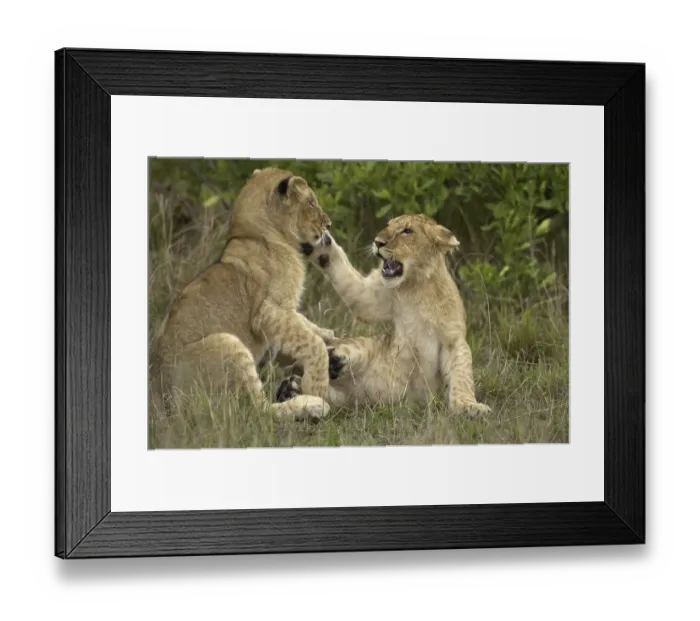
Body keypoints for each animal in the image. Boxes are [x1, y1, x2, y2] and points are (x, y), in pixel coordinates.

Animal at [150, 167, 337, 421]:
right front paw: (318, 386)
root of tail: (163, 398)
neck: (255, 234)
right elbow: (312, 342)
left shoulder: (284, 310)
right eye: (311, 203)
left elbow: (306, 325)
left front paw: (330, 336)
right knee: (258, 412)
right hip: (227, 344)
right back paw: (313, 404)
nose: (328, 224)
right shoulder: (269, 311)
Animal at [275, 214, 491, 417]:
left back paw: (293, 388)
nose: (378, 242)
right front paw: (321, 245)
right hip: (362, 347)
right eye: (388, 225)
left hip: (347, 400)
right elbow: (348, 279)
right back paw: (322, 369)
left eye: (407, 231)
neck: (415, 286)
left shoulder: (453, 339)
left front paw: (469, 407)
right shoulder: (373, 297)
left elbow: (462, 373)